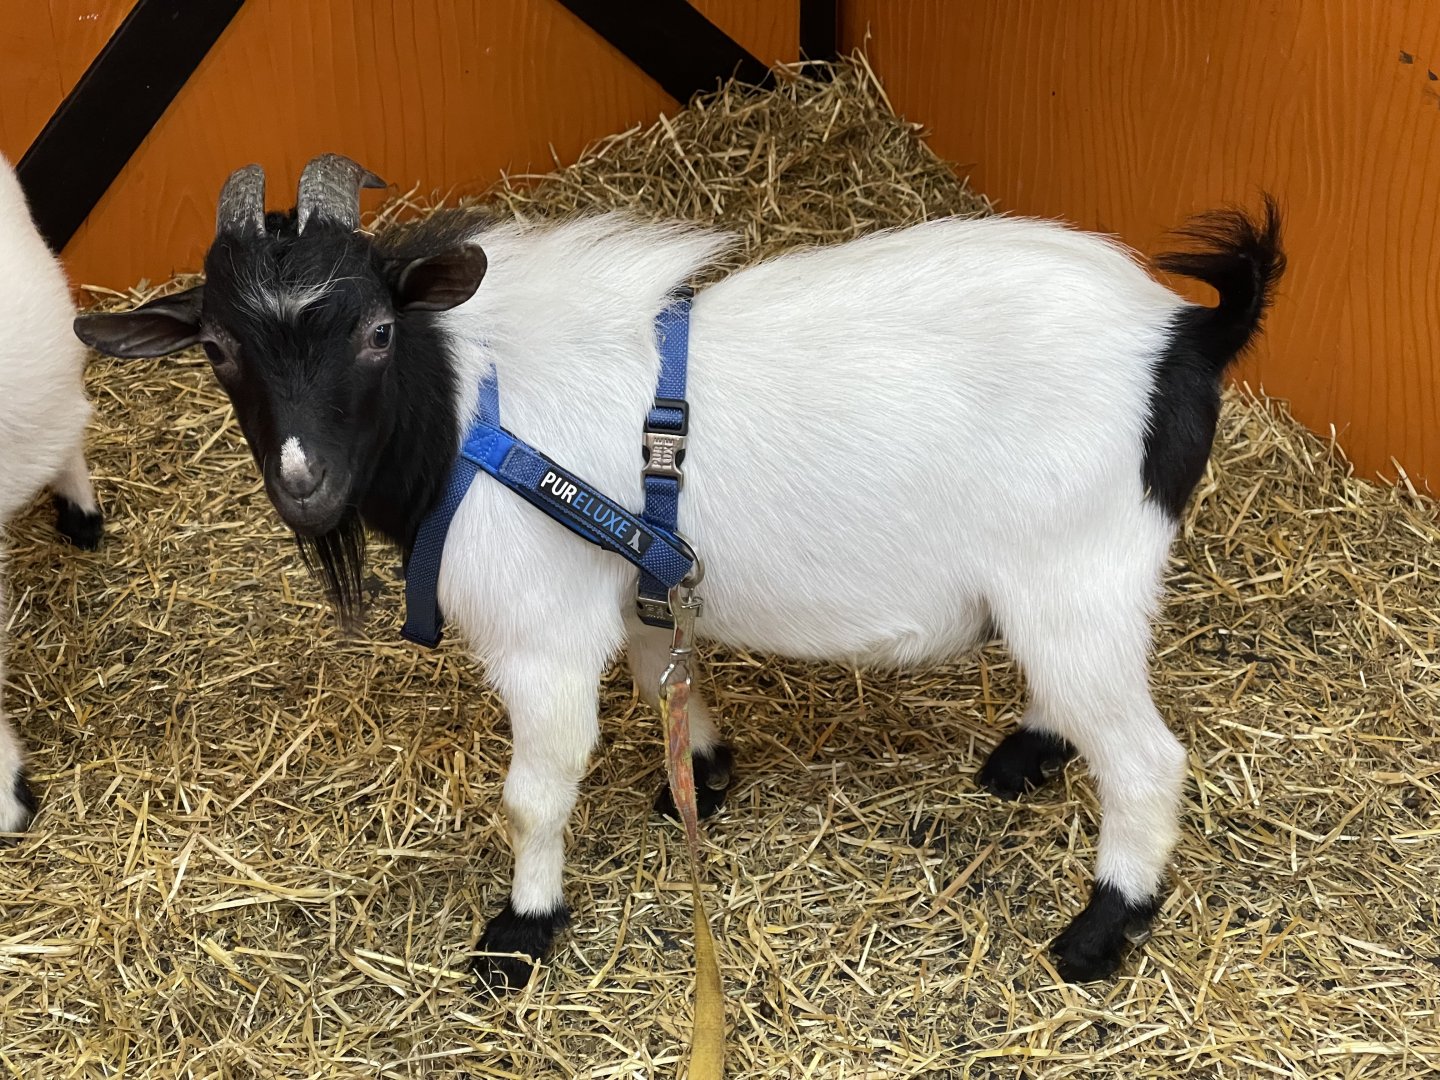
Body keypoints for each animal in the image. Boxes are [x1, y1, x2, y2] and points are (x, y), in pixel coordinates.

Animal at [75, 155, 1284, 987]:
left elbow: (534, 793)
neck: (473, 412)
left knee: (1146, 759)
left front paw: (520, 934)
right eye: (219, 349)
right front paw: (697, 773)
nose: (305, 484)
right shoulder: (640, 571)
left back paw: (1099, 929)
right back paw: (1029, 753)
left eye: (377, 330)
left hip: (1078, 573)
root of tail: (1187, 337)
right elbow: (667, 664)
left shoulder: (540, 632)